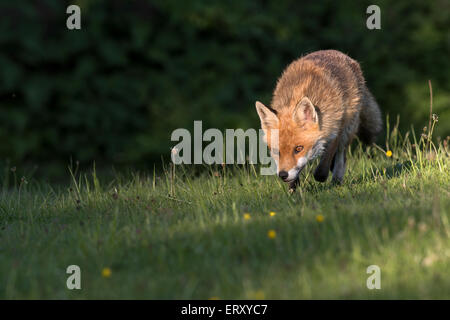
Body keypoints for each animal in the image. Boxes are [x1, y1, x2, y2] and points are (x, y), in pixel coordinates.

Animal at [255, 50, 382, 190]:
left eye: (298, 148)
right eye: (276, 151)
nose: (283, 175)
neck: (299, 94)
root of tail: (338, 53)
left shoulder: (335, 129)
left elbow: (324, 164)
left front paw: (321, 176)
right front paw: (293, 189)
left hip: (348, 130)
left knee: (341, 158)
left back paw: (336, 181)